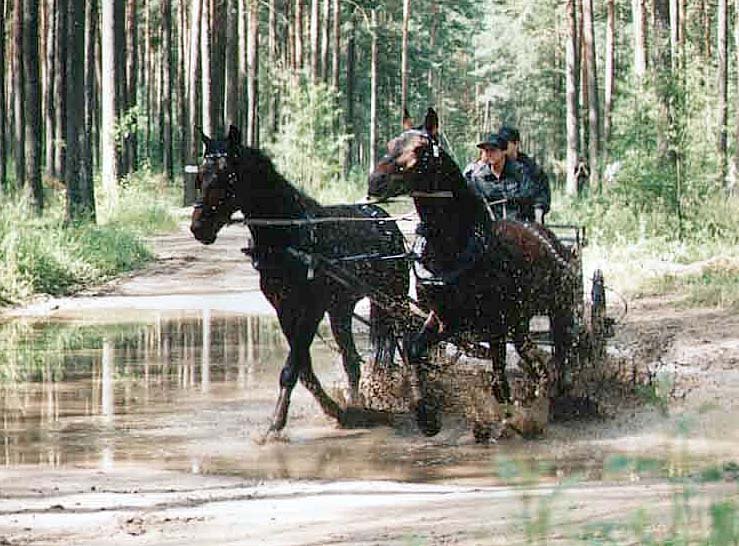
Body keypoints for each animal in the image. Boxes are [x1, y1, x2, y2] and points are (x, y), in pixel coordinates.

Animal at [191, 125, 410, 432]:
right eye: (200, 175)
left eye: (227, 176)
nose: (198, 227)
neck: (290, 235)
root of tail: (386, 221)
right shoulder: (284, 309)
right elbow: (303, 368)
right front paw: (335, 410)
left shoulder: (311, 310)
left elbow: (291, 367)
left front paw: (274, 426)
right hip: (341, 309)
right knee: (351, 360)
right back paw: (357, 405)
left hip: (395, 300)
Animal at [370, 108, 580, 436]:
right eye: (392, 142)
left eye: (421, 150)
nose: (374, 181)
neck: (454, 245)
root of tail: (548, 238)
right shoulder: (444, 319)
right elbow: (414, 349)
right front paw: (426, 416)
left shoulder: (490, 324)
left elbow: (499, 381)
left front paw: (509, 421)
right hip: (518, 323)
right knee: (532, 357)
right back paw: (539, 390)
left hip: (557, 309)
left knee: (560, 349)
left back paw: (556, 392)